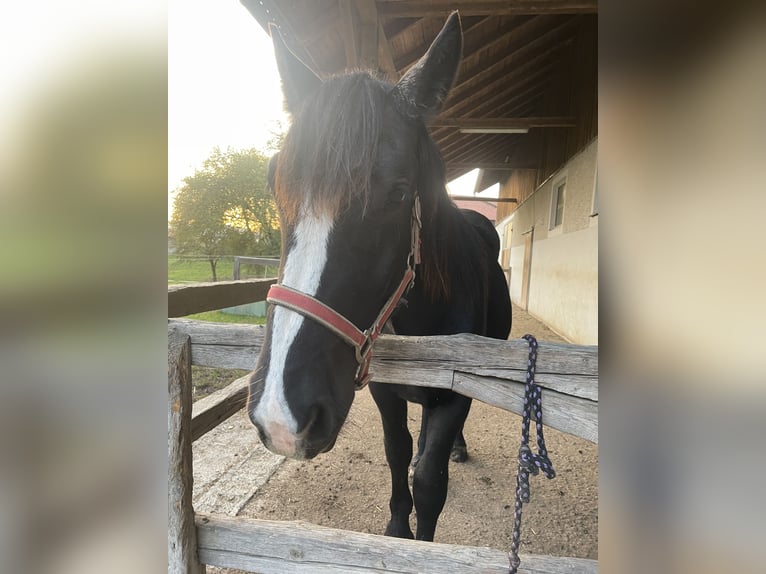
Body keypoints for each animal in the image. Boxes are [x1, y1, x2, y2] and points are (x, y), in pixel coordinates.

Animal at [249, 13, 510, 544]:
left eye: (399, 192)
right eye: (274, 181)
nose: (281, 415)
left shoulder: (452, 395)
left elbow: (429, 479)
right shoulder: (385, 390)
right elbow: (396, 452)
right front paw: (395, 526)